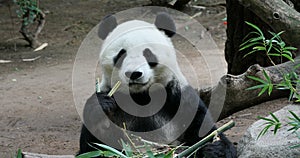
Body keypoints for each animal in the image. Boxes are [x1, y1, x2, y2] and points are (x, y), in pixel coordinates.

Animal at [78, 12, 237, 158]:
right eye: (121, 54)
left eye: (148, 53)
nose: (134, 74)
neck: (140, 96)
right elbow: (93, 148)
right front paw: (101, 105)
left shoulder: (179, 99)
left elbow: (205, 132)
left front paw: (215, 149)